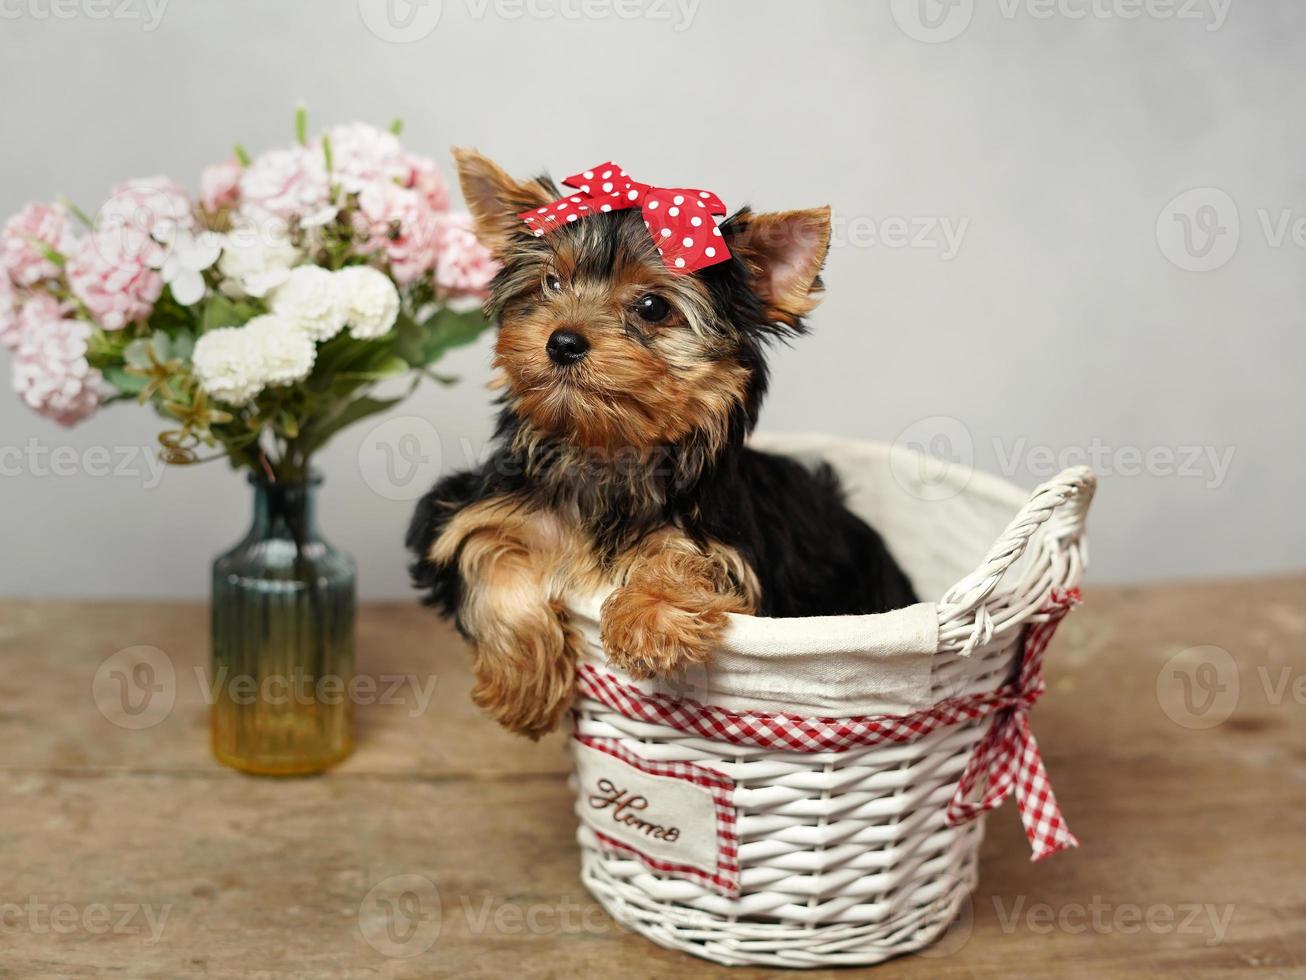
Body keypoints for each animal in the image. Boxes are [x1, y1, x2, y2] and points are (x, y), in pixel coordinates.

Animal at [407, 151, 919, 736]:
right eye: (551, 283)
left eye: (652, 307)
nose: (562, 340)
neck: (607, 450)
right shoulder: (466, 511)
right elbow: (487, 554)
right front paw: (525, 687)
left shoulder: (730, 546)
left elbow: (684, 552)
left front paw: (649, 619)